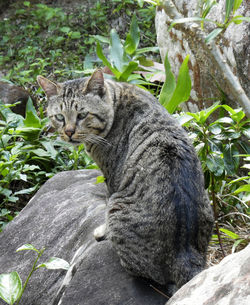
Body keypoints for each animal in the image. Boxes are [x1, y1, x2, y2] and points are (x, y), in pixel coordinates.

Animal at [36, 69, 213, 294]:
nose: (68, 132)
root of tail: (185, 256)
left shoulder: (112, 178)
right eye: (59, 117)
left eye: (82, 115)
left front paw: (102, 232)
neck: (117, 96)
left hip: (118, 206)